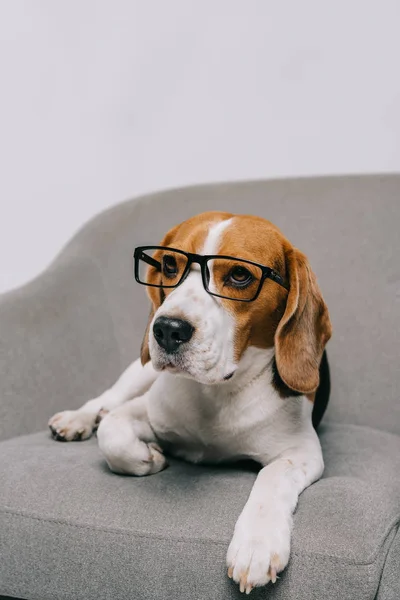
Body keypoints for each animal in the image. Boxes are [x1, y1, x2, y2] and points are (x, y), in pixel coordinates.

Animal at [48, 212, 332, 596]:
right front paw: (148, 456)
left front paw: (256, 545)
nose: (167, 329)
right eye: (170, 264)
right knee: (108, 400)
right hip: (140, 370)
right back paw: (77, 418)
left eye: (239, 274)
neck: (217, 392)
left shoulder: (302, 450)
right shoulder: (149, 411)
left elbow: (272, 476)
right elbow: (112, 431)